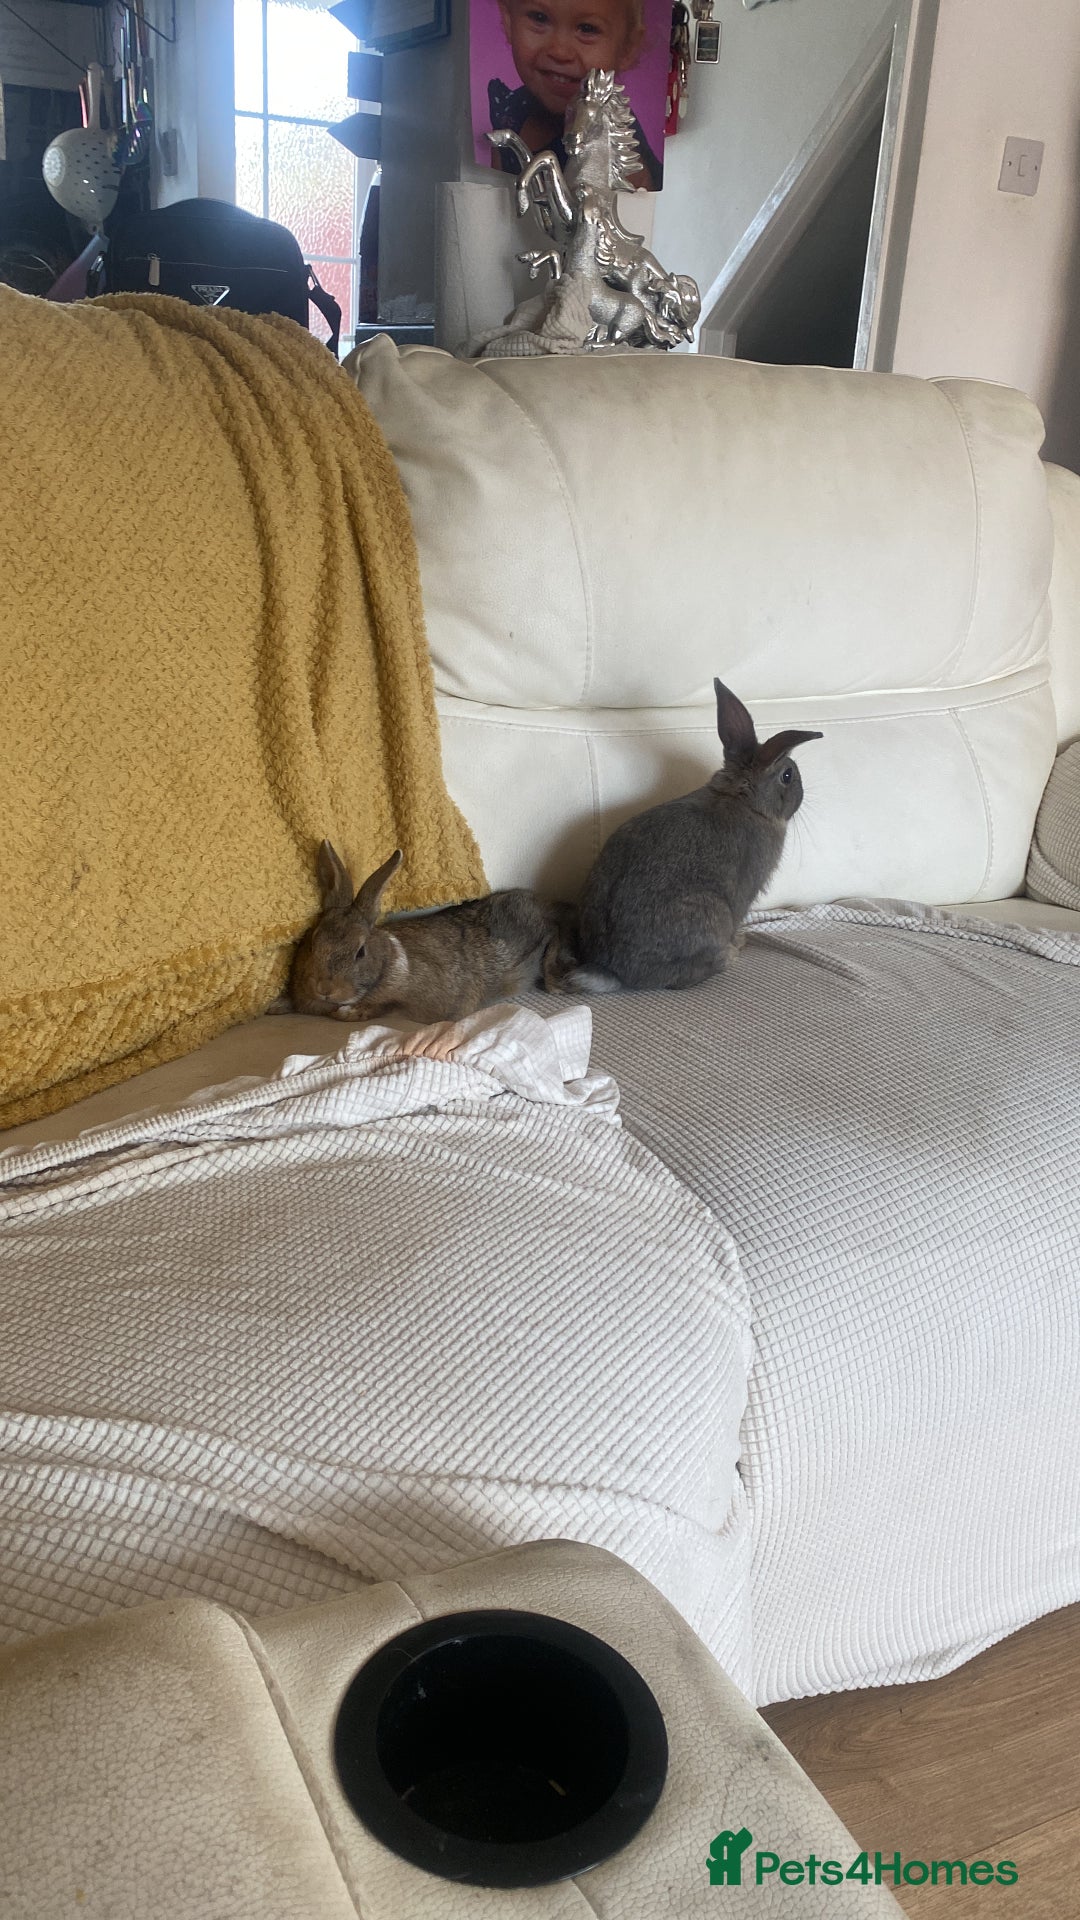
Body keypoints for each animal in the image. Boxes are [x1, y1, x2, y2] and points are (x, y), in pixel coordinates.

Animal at [288, 841, 578, 1022]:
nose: (325, 988)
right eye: (312, 944)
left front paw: (350, 1012)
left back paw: (555, 984)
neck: (388, 962)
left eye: (360, 952)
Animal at [561, 677, 822, 993]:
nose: (802, 794)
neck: (744, 799)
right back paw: (729, 954)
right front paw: (740, 941)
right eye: (787, 775)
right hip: (712, 910)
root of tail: (612, 971)